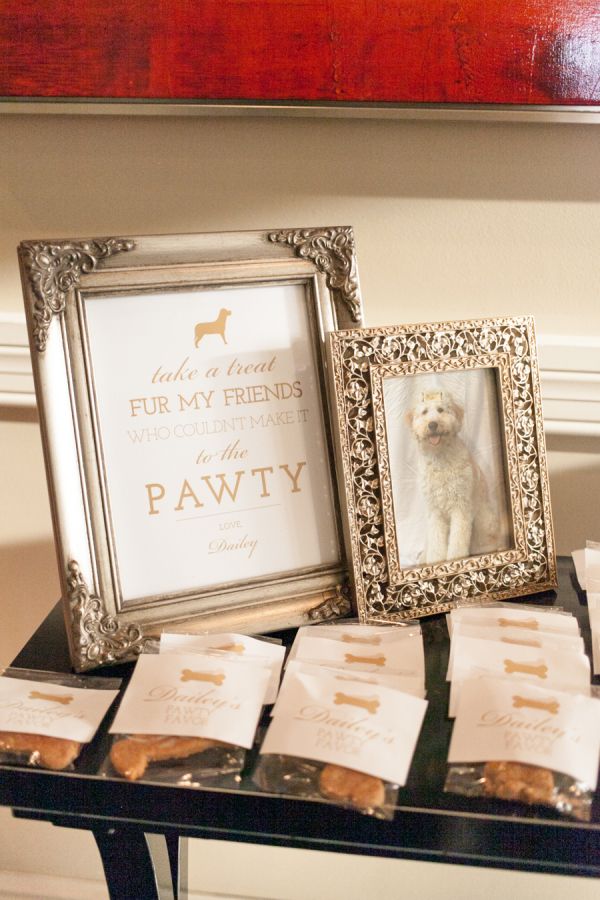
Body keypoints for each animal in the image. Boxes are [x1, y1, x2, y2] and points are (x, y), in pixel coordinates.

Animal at [408, 388, 496, 564]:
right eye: (424, 412)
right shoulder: (434, 511)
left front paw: (456, 559)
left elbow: (458, 540)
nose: (433, 424)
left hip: (483, 520)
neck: (440, 456)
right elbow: (435, 541)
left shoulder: (461, 508)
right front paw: (435, 560)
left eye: (441, 410)